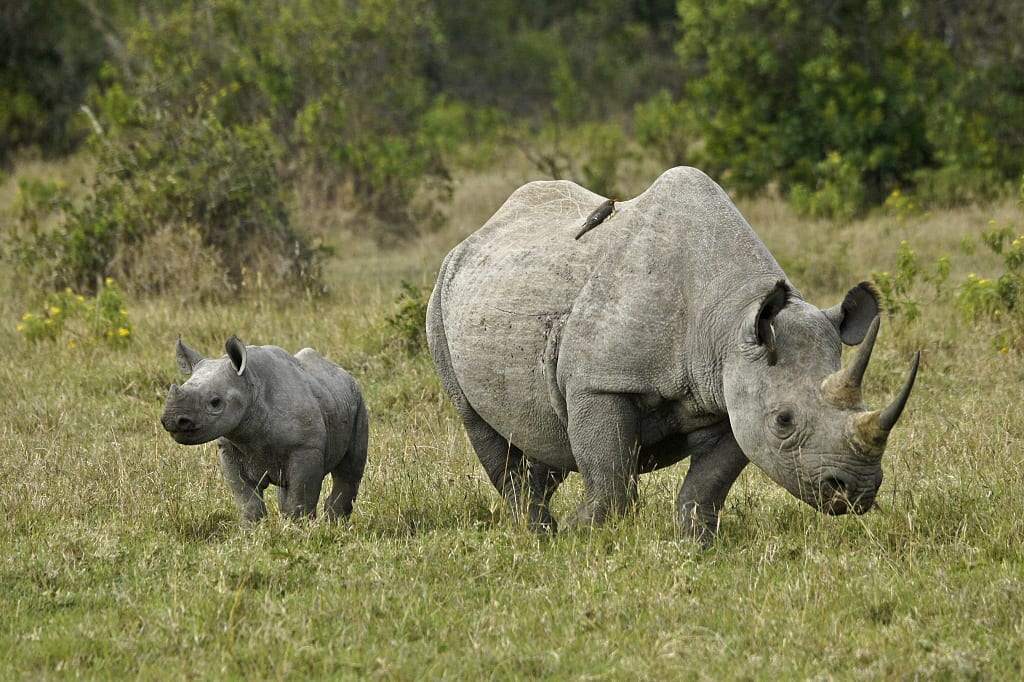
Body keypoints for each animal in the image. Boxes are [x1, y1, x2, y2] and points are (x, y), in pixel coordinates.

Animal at [160, 336, 368, 524]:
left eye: (215, 402)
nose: (172, 420)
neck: (250, 385)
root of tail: (343, 372)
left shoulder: (306, 448)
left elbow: (300, 497)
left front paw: (298, 532)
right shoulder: (229, 449)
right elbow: (247, 501)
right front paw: (252, 532)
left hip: (358, 403)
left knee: (349, 471)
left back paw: (335, 525)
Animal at [427, 167, 919, 543]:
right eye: (783, 421)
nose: (855, 492)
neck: (729, 320)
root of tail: (478, 233)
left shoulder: (732, 391)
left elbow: (707, 485)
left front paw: (696, 544)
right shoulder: (599, 383)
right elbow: (611, 478)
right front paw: (579, 534)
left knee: (543, 437)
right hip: (441, 295)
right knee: (478, 422)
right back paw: (539, 534)